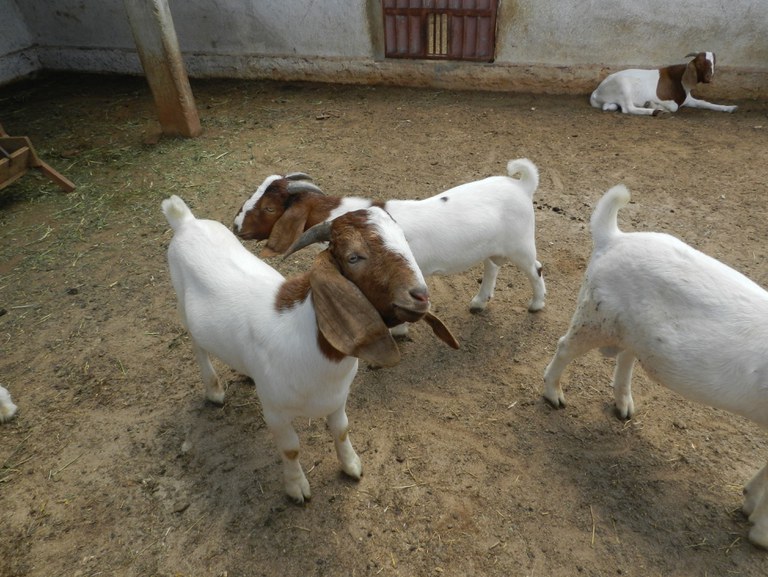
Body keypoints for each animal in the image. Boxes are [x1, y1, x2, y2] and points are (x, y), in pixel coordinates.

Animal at [162, 196, 456, 502]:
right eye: (353, 257)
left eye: (404, 240)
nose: (420, 296)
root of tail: (185, 221)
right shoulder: (276, 413)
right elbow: (291, 448)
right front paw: (296, 488)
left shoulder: (337, 398)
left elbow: (341, 430)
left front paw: (352, 466)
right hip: (183, 307)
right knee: (198, 348)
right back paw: (214, 391)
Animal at [232, 158, 544, 322]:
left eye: (269, 208)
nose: (235, 226)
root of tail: (522, 185)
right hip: (494, 247)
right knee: (492, 266)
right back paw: (479, 302)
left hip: (521, 245)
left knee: (536, 270)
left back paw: (537, 304)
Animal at [544, 183, 768, 544]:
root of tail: (614, 237)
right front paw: (761, 534)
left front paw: (749, 506)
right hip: (595, 317)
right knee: (565, 346)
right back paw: (554, 395)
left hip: (629, 331)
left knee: (624, 357)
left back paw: (623, 406)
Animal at [588, 51, 736, 116]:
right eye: (699, 63)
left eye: (713, 63)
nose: (708, 78)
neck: (679, 80)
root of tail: (596, 92)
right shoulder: (664, 99)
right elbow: (674, 106)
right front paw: (653, 104)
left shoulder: (688, 99)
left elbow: (704, 103)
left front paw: (730, 107)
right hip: (623, 86)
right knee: (628, 108)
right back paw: (654, 111)